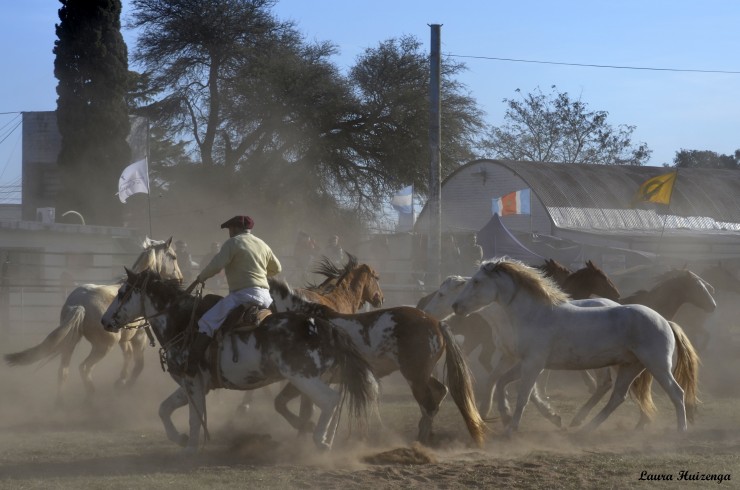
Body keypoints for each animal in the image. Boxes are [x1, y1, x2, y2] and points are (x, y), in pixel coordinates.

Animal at [4, 236, 184, 402]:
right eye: (174, 257)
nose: (180, 279)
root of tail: (79, 304)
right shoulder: (139, 337)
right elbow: (138, 365)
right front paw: (125, 385)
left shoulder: (124, 339)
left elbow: (127, 356)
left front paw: (120, 381)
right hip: (103, 346)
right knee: (84, 368)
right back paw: (91, 397)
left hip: (70, 342)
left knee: (63, 371)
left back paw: (60, 403)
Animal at [101, 268, 378, 452]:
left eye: (123, 293)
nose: (105, 321)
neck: (183, 323)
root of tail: (322, 326)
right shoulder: (194, 385)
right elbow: (164, 409)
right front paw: (179, 438)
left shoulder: (193, 382)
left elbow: (194, 419)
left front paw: (190, 447)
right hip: (317, 378)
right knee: (333, 403)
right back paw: (324, 436)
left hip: (303, 377)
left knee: (330, 401)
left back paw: (320, 440)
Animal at [268, 278, 488, 446]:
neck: (308, 323)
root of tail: (436, 322)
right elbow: (302, 409)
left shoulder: (305, 375)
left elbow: (282, 404)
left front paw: (307, 430)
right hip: (422, 374)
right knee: (440, 392)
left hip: (414, 377)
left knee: (428, 405)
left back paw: (419, 441)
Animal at [450, 258, 700, 434]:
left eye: (477, 282)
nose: (456, 306)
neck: (534, 315)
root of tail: (664, 321)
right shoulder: (526, 363)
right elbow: (502, 382)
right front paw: (504, 416)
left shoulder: (534, 364)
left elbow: (523, 394)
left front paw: (512, 427)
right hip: (631, 366)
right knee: (617, 396)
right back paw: (586, 427)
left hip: (657, 365)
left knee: (676, 393)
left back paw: (681, 430)